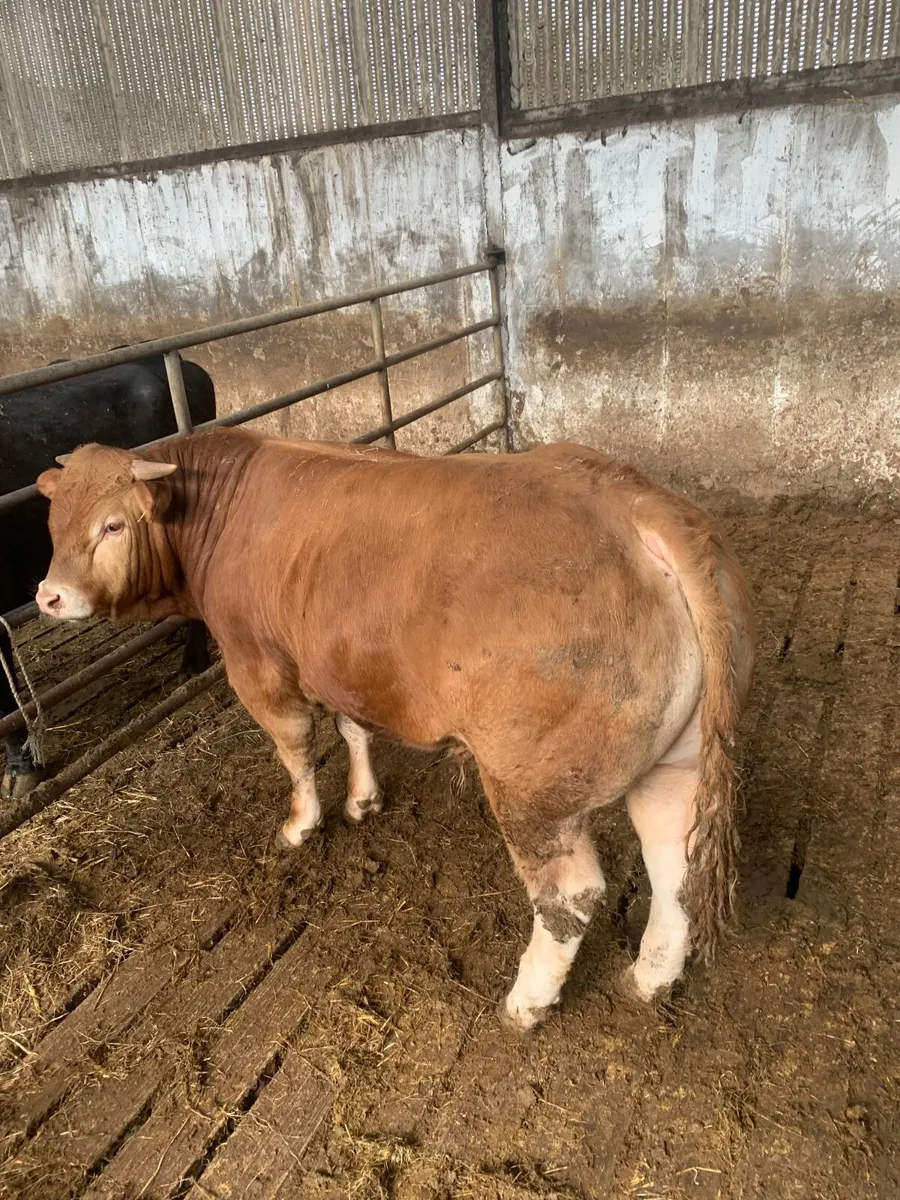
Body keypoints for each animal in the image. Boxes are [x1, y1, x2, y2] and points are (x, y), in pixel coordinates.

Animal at [33, 428, 754, 1030]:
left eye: (112, 524)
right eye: (52, 523)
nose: (48, 597)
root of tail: (632, 503)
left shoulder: (255, 661)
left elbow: (294, 745)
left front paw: (301, 824)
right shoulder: (339, 663)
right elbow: (353, 728)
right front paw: (362, 799)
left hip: (532, 787)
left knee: (568, 895)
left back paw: (526, 1003)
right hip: (679, 760)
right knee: (676, 862)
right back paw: (650, 977)